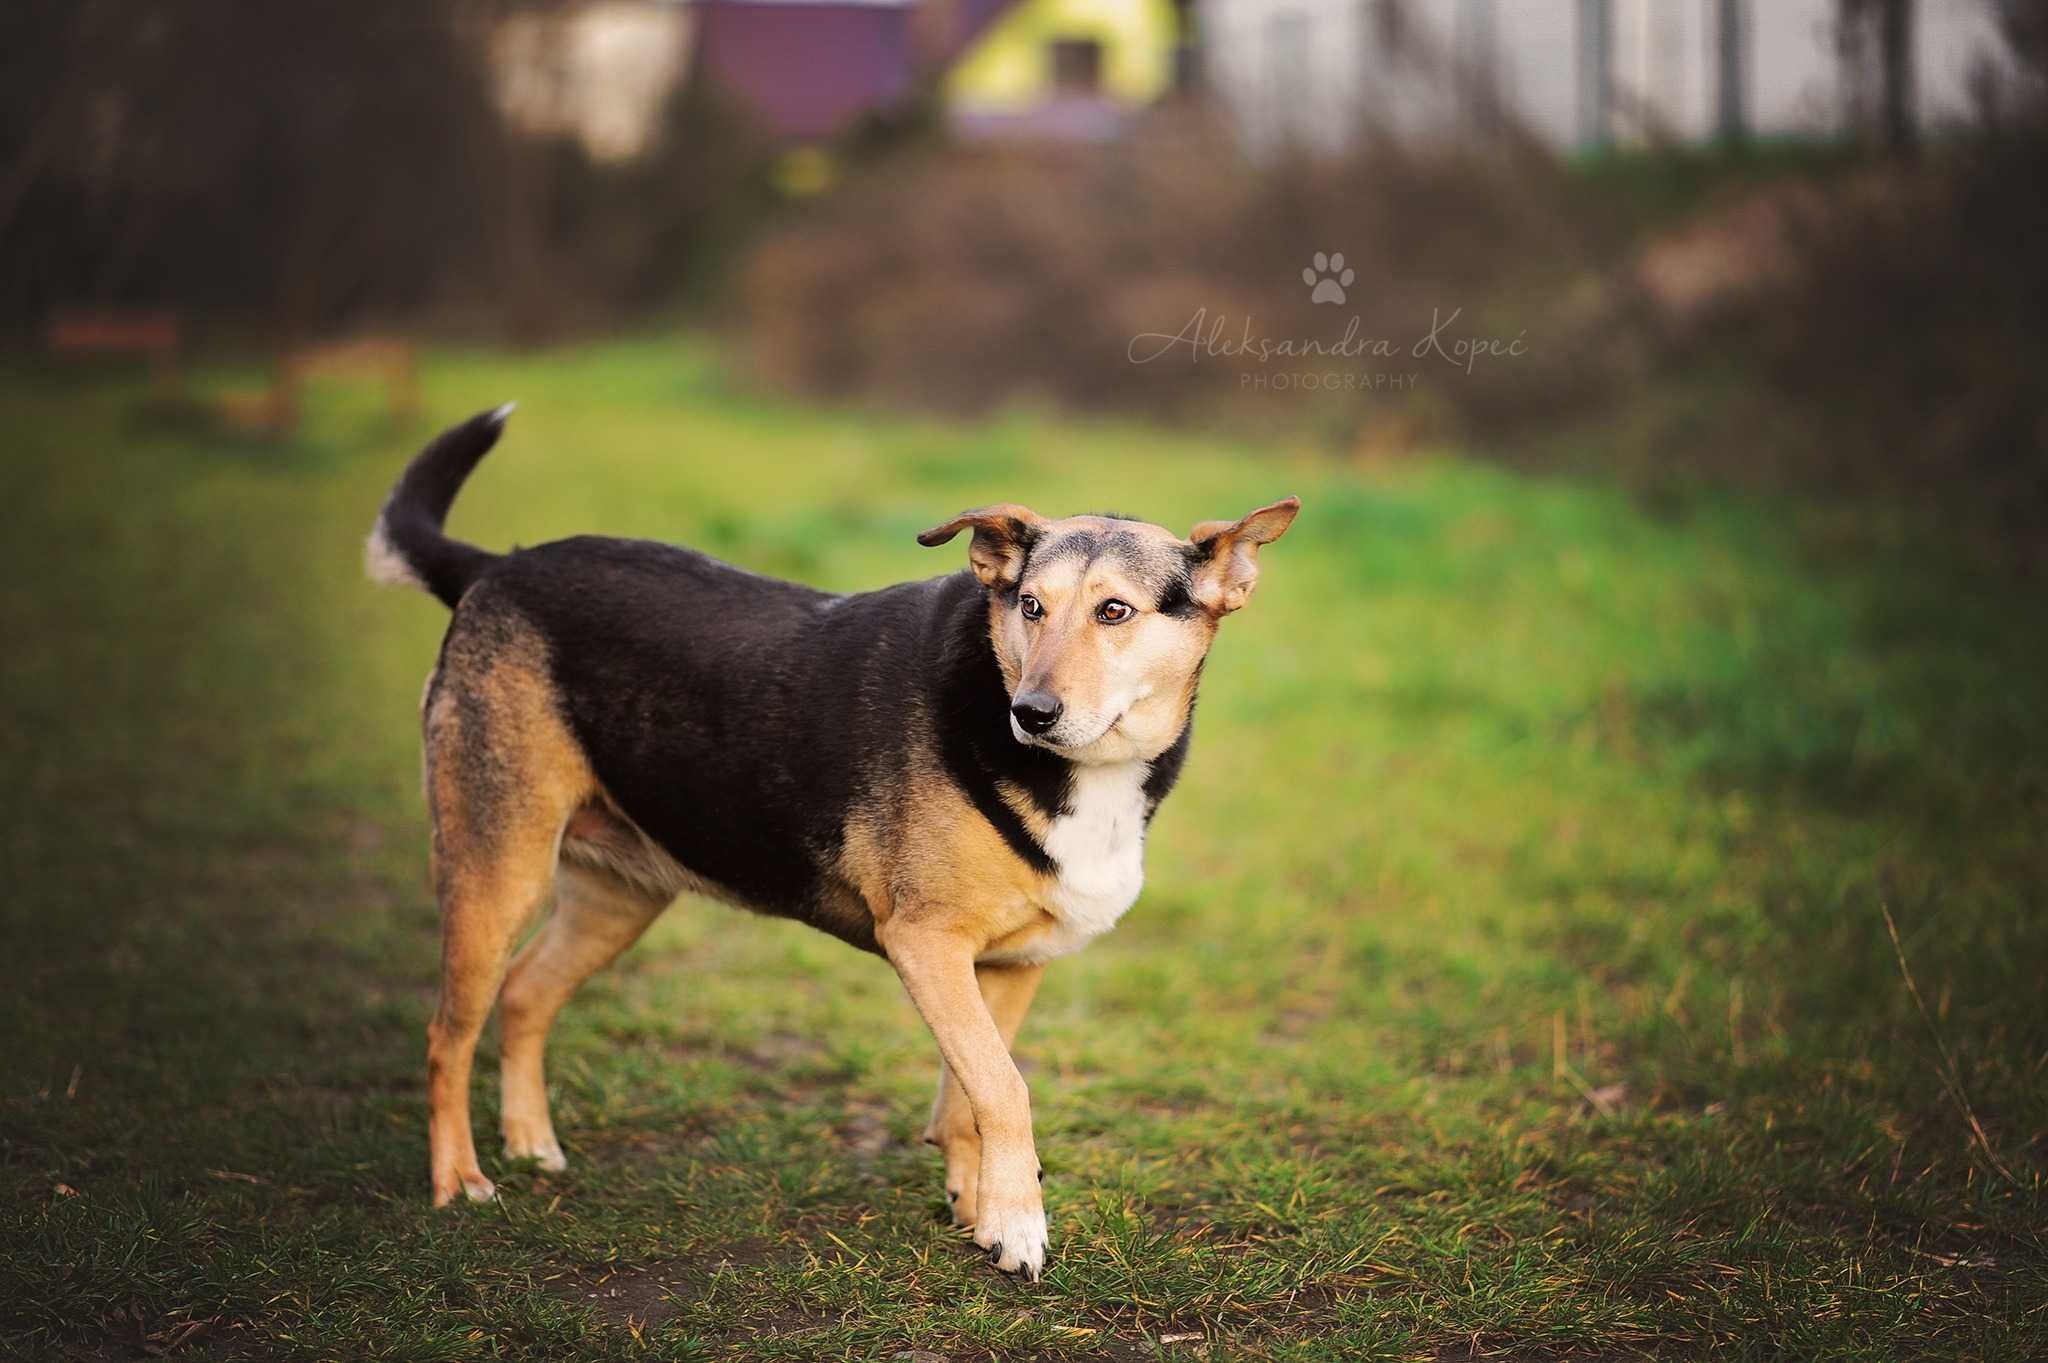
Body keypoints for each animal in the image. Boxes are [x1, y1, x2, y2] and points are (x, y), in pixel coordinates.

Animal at [368, 405, 1294, 1277]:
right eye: (1031, 606)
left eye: (1115, 611)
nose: (1030, 713)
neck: (1084, 773)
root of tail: (494, 567)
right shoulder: (925, 942)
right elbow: (1004, 1086)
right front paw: (1018, 1226)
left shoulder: (1008, 964)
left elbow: (971, 1092)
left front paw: (979, 1206)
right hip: (499, 866)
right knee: (446, 1033)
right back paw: (459, 1181)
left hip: (620, 894)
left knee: (526, 994)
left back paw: (532, 1143)